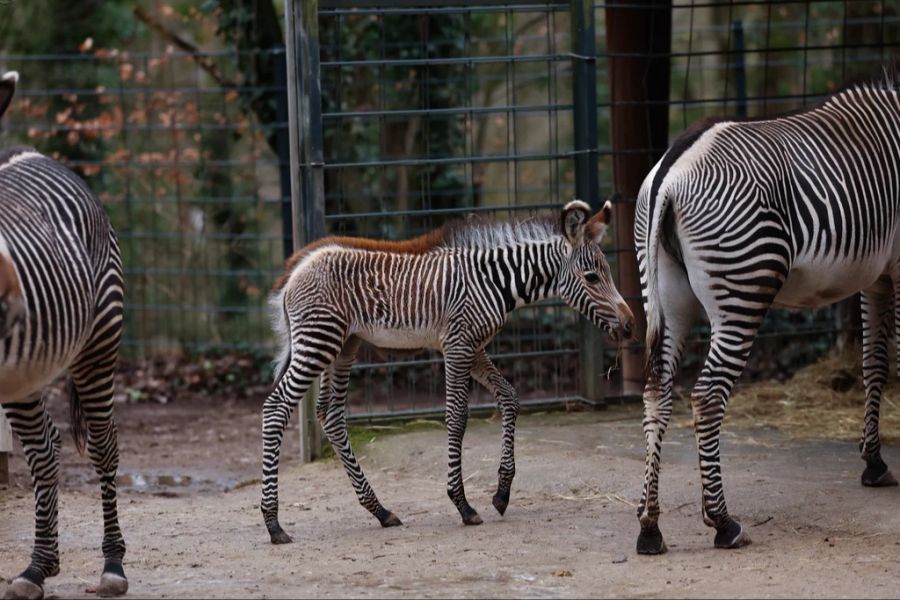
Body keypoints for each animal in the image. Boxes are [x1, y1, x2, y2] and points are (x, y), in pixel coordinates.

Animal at [260, 200, 632, 544]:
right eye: (592, 277)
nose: (630, 326)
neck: (494, 281)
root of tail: (296, 267)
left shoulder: (474, 347)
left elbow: (510, 398)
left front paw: (502, 493)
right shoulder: (457, 345)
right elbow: (457, 417)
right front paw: (463, 504)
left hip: (343, 345)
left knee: (331, 414)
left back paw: (380, 511)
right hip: (318, 340)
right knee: (276, 407)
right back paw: (274, 523)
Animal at [632, 78, 900, 552]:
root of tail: (671, 170)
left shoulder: (877, 275)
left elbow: (875, 365)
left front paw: (874, 462)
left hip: (664, 292)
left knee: (656, 391)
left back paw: (650, 527)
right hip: (743, 287)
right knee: (707, 395)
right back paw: (723, 522)